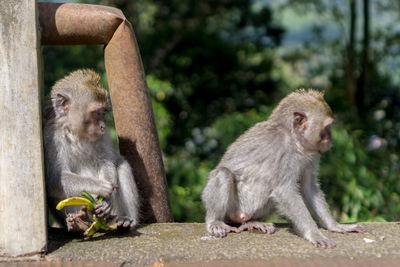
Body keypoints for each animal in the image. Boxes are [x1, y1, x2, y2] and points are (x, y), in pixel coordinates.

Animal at [43, 69, 140, 234]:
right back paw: (80, 223)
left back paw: (127, 220)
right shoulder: (50, 139)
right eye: (97, 112)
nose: (103, 125)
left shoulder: (103, 136)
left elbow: (107, 162)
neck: (77, 134)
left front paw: (108, 199)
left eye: (104, 111)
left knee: (121, 165)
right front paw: (99, 186)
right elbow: (55, 179)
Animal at [203, 90, 366, 249]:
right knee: (223, 173)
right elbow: (284, 190)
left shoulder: (311, 154)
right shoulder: (281, 149)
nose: (331, 138)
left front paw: (335, 226)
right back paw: (215, 222)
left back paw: (253, 222)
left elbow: (309, 187)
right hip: (228, 207)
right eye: (327, 127)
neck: (294, 140)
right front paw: (315, 234)